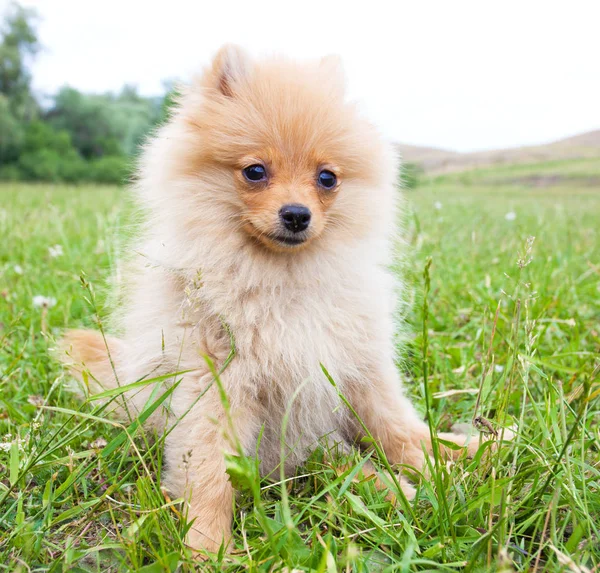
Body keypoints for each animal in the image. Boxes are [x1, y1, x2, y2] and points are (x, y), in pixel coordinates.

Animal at [61, 44, 480, 556]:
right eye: (255, 172)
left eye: (327, 178)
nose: (296, 214)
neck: (282, 281)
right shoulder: (215, 383)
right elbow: (210, 471)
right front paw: (206, 544)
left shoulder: (357, 363)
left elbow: (395, 425)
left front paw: (437, 459)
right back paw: (391, 488)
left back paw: (457, 459)